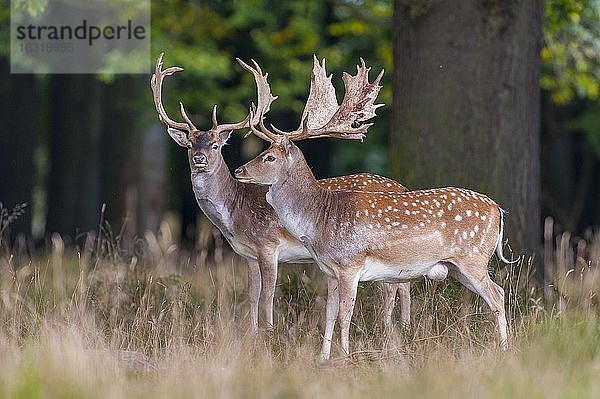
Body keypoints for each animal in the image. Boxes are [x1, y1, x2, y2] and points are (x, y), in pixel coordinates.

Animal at [150, 55, 412, 338]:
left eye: (216, 145)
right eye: (189, 145)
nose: (199, 159)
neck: (234, 216)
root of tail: (402, 187)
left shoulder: (268, 245)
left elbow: (268, 295)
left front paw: (269, 334)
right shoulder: (247, 254)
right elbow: (252, 294)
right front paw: (252, 334)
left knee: (392, 287)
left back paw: (387, 329)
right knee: (404, 284)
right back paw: (405, 328)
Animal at [233, 57, 510, 360]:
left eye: (269, 157)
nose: (239, 170)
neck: (320, 219)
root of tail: (498, 210)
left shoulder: (350, 265)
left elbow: (345, 315)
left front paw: (345, 357)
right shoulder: (330, 271)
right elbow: (329, 314)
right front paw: (323, 358)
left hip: (473, 258)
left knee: (498, 295)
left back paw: (505, 350)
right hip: (458, 266)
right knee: (498, 292)